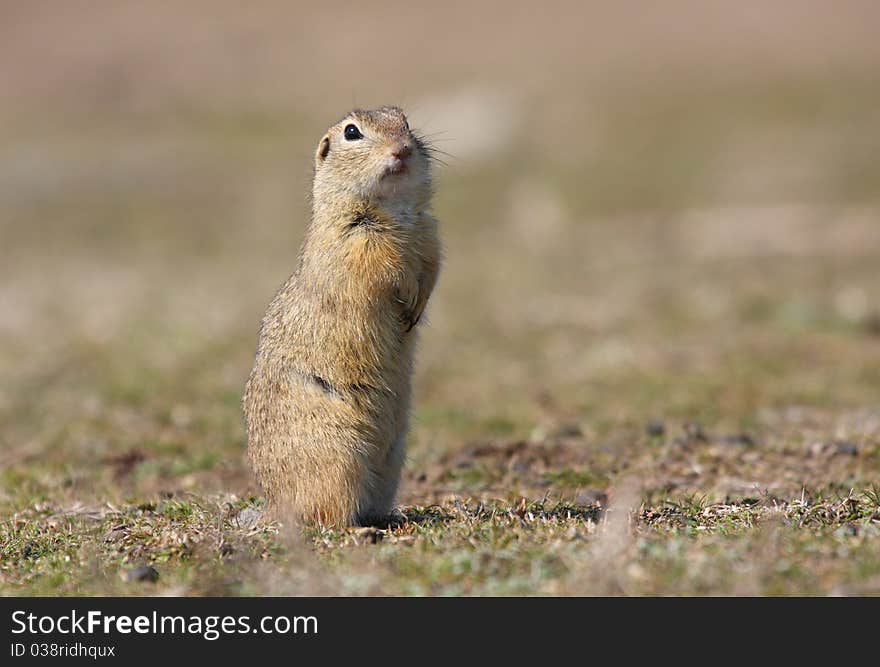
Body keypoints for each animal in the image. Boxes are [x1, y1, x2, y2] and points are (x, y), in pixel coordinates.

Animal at [241, 107, 444, 528]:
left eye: (405, 123)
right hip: (337, 458)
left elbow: (431, 269)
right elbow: (384, 268)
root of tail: (273, 503)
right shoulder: (356, 240)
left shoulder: (431, 233)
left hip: (392, 460)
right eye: (352, 132)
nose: (402, 149)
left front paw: (416, 308)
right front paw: (406, 298)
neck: (395, 208)